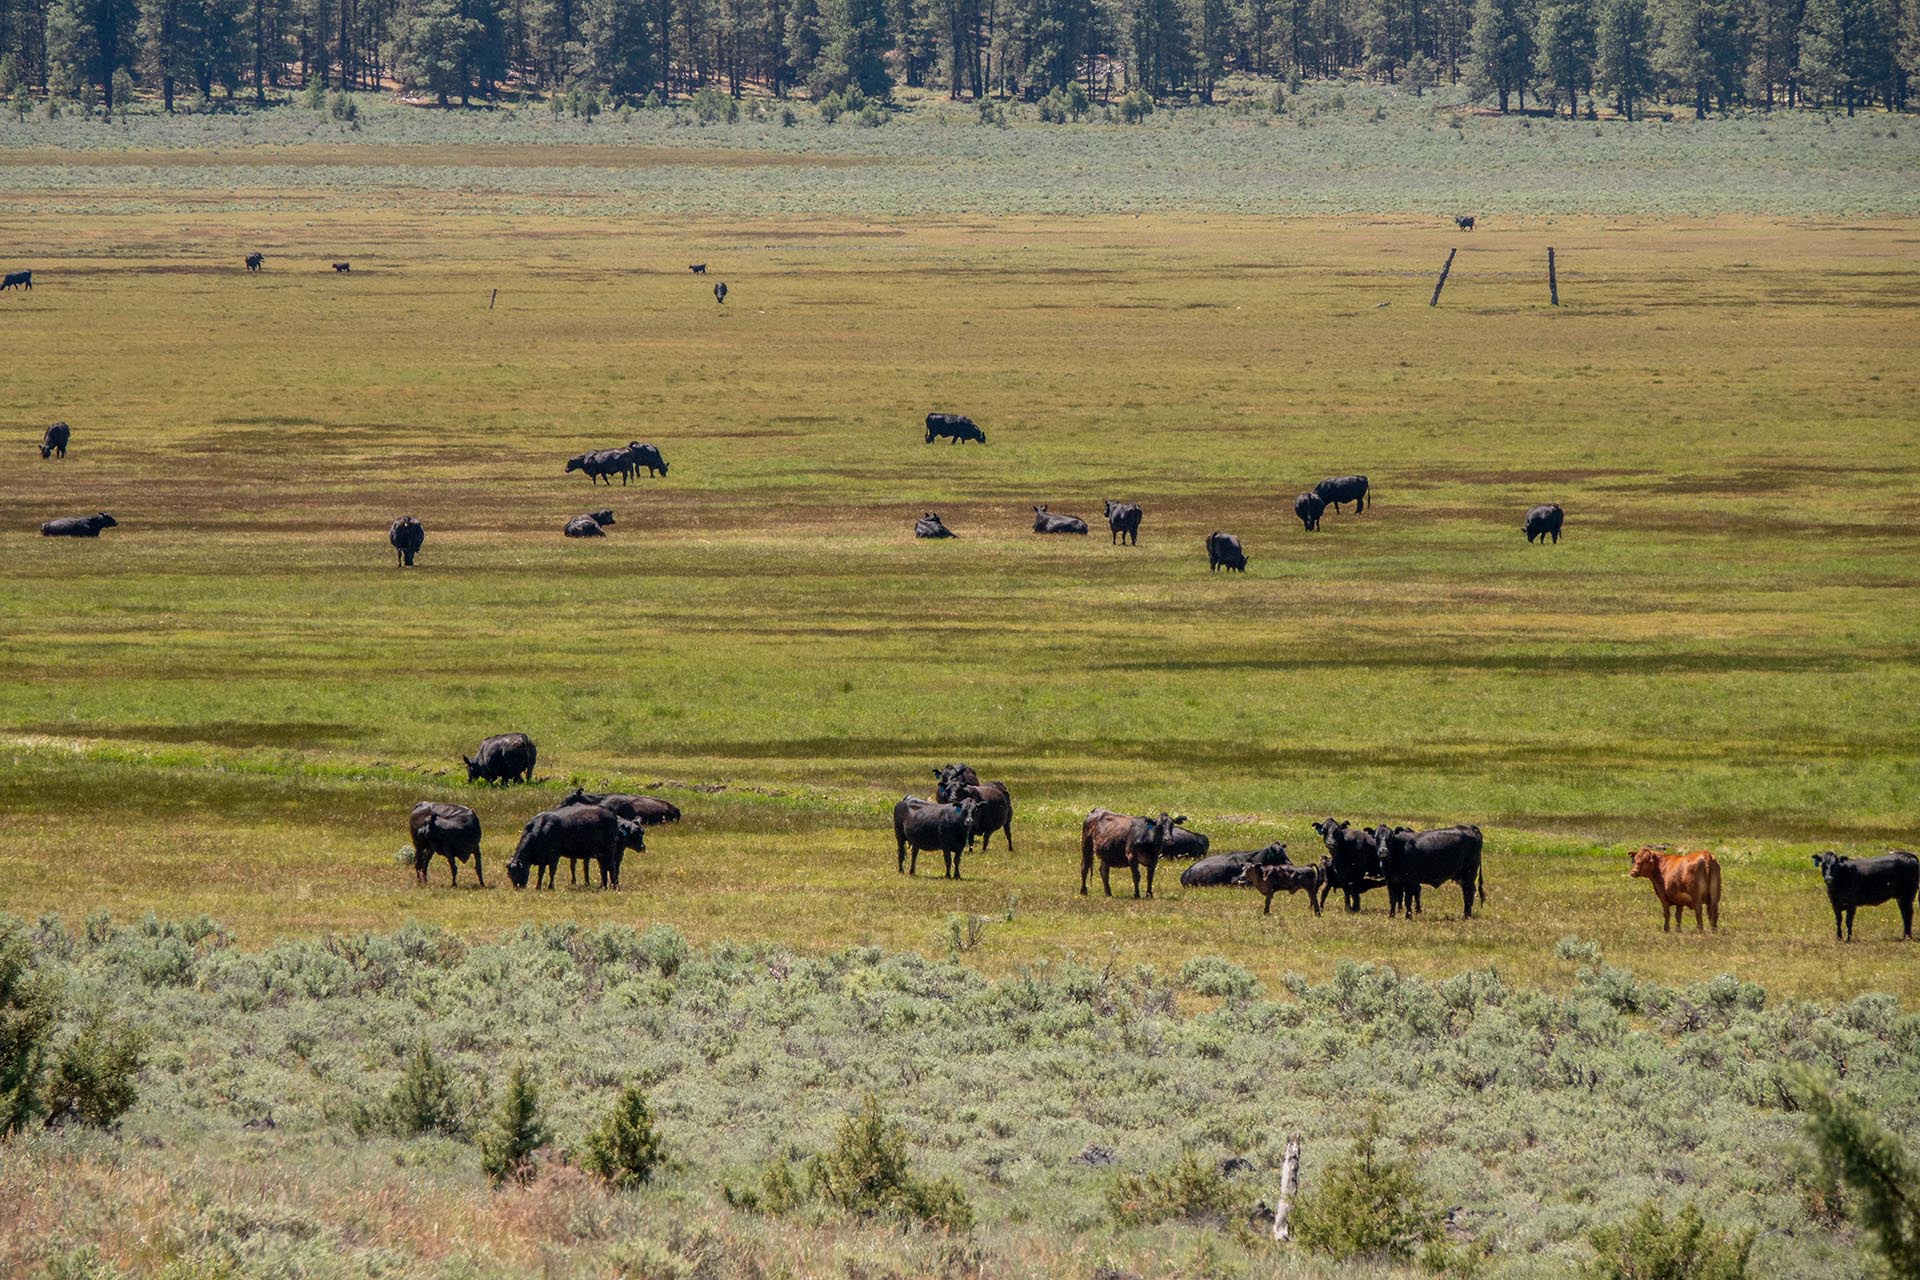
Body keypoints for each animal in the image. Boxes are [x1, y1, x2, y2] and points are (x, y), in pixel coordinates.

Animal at [507, 804, 645, 890]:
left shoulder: (554, 856)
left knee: (611, 868)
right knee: (604, 868)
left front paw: (551, 886)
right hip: (601, 853)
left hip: (609, 850)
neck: (541, 829)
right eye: (510, 874)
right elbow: (541, 873)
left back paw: (612, 886)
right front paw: (538, 887)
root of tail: (610, 813)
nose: (517, 887)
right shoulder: (543, 858)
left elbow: (552, 871)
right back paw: (604, 886)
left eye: (518, 872)